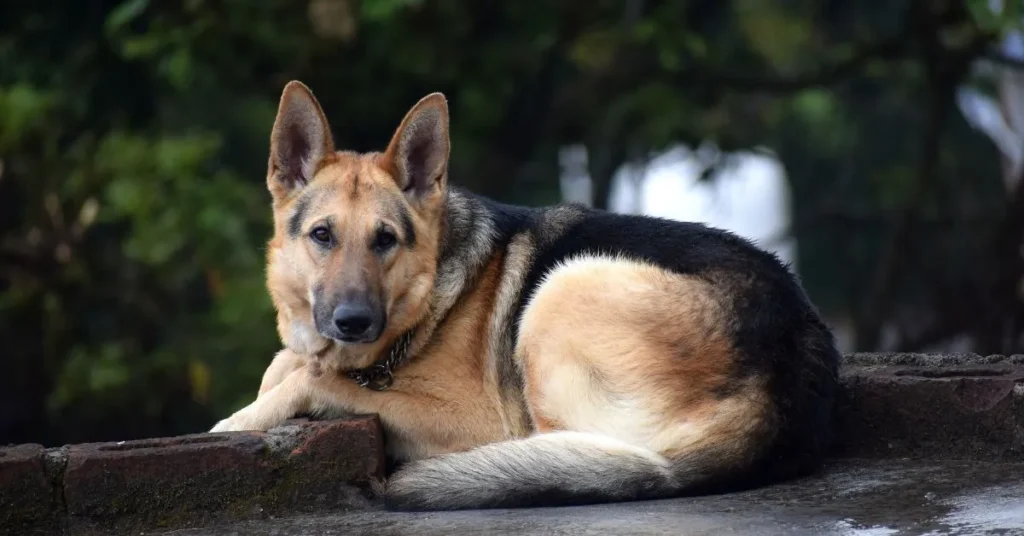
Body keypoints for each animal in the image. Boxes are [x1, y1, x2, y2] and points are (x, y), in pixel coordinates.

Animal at [207, 80, 839, 512]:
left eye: (385, 240)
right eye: (322, 236)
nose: (353, 321)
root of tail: (782, 386)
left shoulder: (474, 418)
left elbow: (314, 380)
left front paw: (239, 419)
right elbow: (289, 364)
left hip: (564, 287)